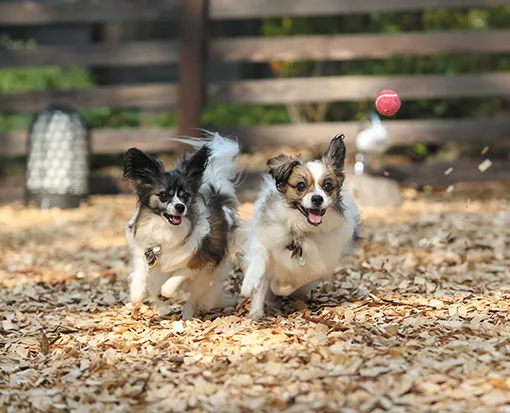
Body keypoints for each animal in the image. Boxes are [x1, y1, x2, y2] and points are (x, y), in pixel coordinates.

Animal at [125, 134, 241, 320]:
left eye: (185, 196)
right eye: (163, 195)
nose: (180, 207)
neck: (165, 229)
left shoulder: (196, 263)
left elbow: (171, 284)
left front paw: (166, 295)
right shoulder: (144, 255)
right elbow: (140, 277)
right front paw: (137, 297)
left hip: (206, 276)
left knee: (194, 298)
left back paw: (187, 315)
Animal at [241, 135, 360, 318]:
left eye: (327, 186)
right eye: (301, 186)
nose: (317, 199)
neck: (301, 230)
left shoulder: (318, 267)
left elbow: (285, 285)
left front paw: (279, 287)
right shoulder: (263, 239)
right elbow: (259, 261)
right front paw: (249, 283)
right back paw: (256, 312)